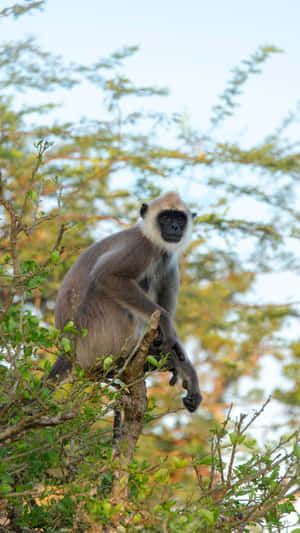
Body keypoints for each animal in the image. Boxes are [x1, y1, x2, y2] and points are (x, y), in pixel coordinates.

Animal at [49, 191, 202, 412]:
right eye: (165, 217)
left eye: (180, 219)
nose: (175, 227)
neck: (152, 239)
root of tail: (67, 351)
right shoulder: (142, 247)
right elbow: (106, 275)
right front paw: (166, 325)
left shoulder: (169, 264)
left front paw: (188, 375)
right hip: (93, 342)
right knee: (102, 287)